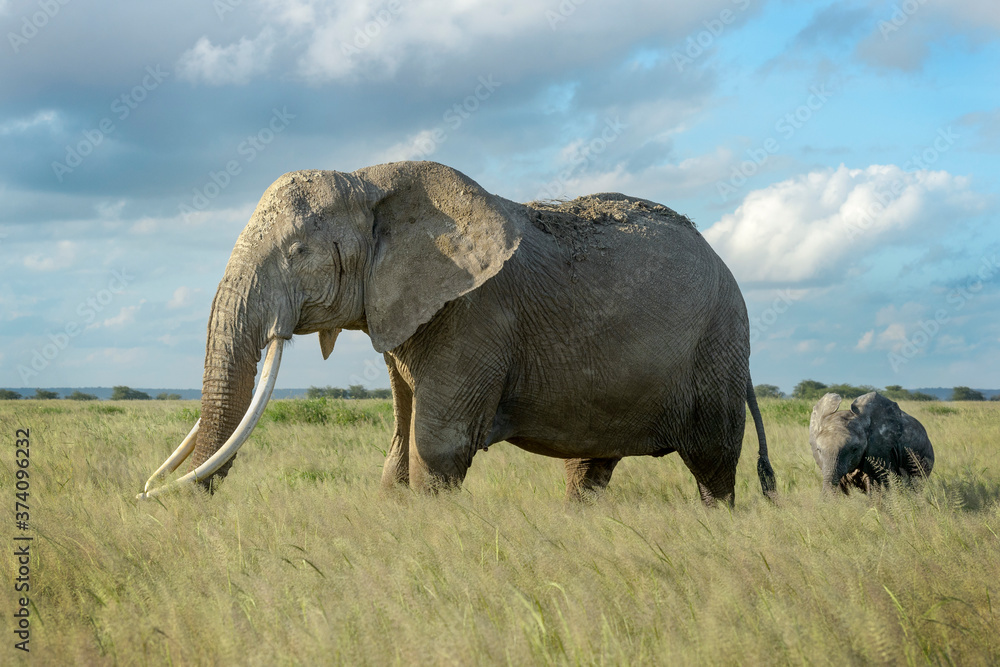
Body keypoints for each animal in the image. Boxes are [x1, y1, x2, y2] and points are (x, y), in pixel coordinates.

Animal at [139, 161, 776, 506]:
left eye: (298, 252)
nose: (147, 495)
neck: (369, 180)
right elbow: (400, 447)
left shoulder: (476, 315)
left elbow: (435, 446)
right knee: (590, 468)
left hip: (718, 343)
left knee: (714, 465)